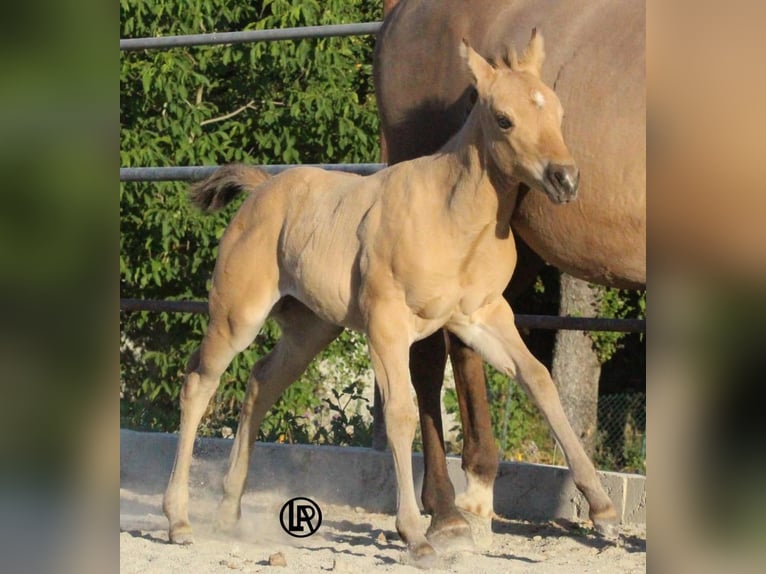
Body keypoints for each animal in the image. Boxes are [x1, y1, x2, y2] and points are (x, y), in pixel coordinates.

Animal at [162, 32, 613, 564]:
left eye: (559, 112)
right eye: (504, 118)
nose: (566, 180)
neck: (452, 215)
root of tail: (262, 188)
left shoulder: (482, 315)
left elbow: (540, 380)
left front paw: (602, 508)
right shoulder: (388, 323)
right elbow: (400, 412)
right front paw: (416, 534)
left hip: (310, 328)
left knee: (261, 383)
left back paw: (230, 510)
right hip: (237, 314)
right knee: (199, 382)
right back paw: (178, 520)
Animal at [374, 0, 645, 547]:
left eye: (561, 113)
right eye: (503, 117)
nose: (567, 178)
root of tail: (399, 13)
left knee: (465, 348)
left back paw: (476, 492)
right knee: (428, 360)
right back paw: (446, 510)